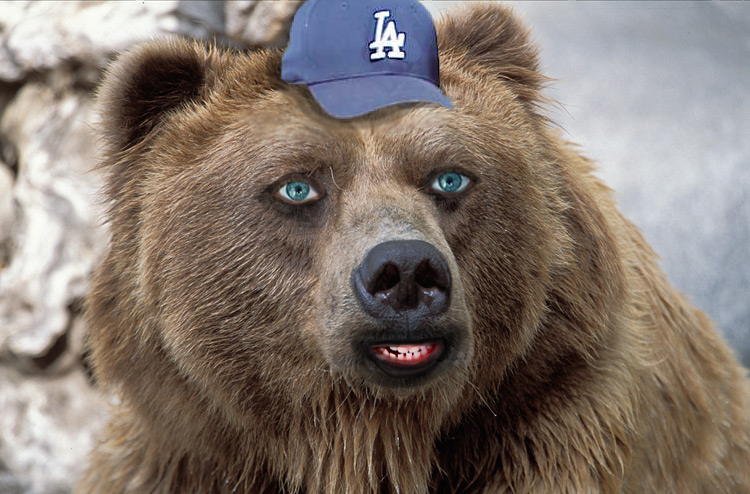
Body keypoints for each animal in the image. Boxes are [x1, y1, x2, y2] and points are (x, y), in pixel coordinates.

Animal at [79, 3, 750, 493]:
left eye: (450, 177)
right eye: (297, 186)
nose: (403, 270)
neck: (365, 441)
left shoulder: (560, 430)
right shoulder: (184, 454)